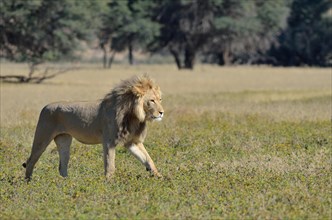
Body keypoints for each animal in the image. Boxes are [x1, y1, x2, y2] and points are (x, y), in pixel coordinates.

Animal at [22, 74, 165, 180]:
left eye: (160, 99)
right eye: (152, 100)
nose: (162, 112)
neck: (134, 116)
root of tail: (45, 107)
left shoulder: (132, 142)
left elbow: (148, 159)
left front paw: (160, 177)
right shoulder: (109, 141)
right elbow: (110, 165)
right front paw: (109, 183)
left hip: (64, 139)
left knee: (62, 165)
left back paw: (67, 184)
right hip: (42, 138)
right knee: (30, 161)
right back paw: (28, 183)